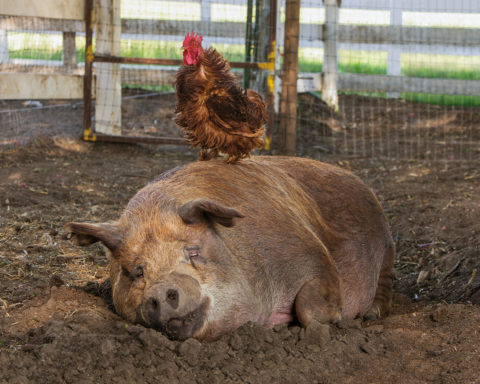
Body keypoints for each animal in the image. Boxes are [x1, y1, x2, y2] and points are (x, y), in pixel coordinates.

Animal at [64, 156, 394, 340]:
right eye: (135, 271)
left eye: (194, 251)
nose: (161, 289)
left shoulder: (313, 254)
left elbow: (310, 307)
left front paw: (336, 320)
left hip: (387, 246)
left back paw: (370, 316)